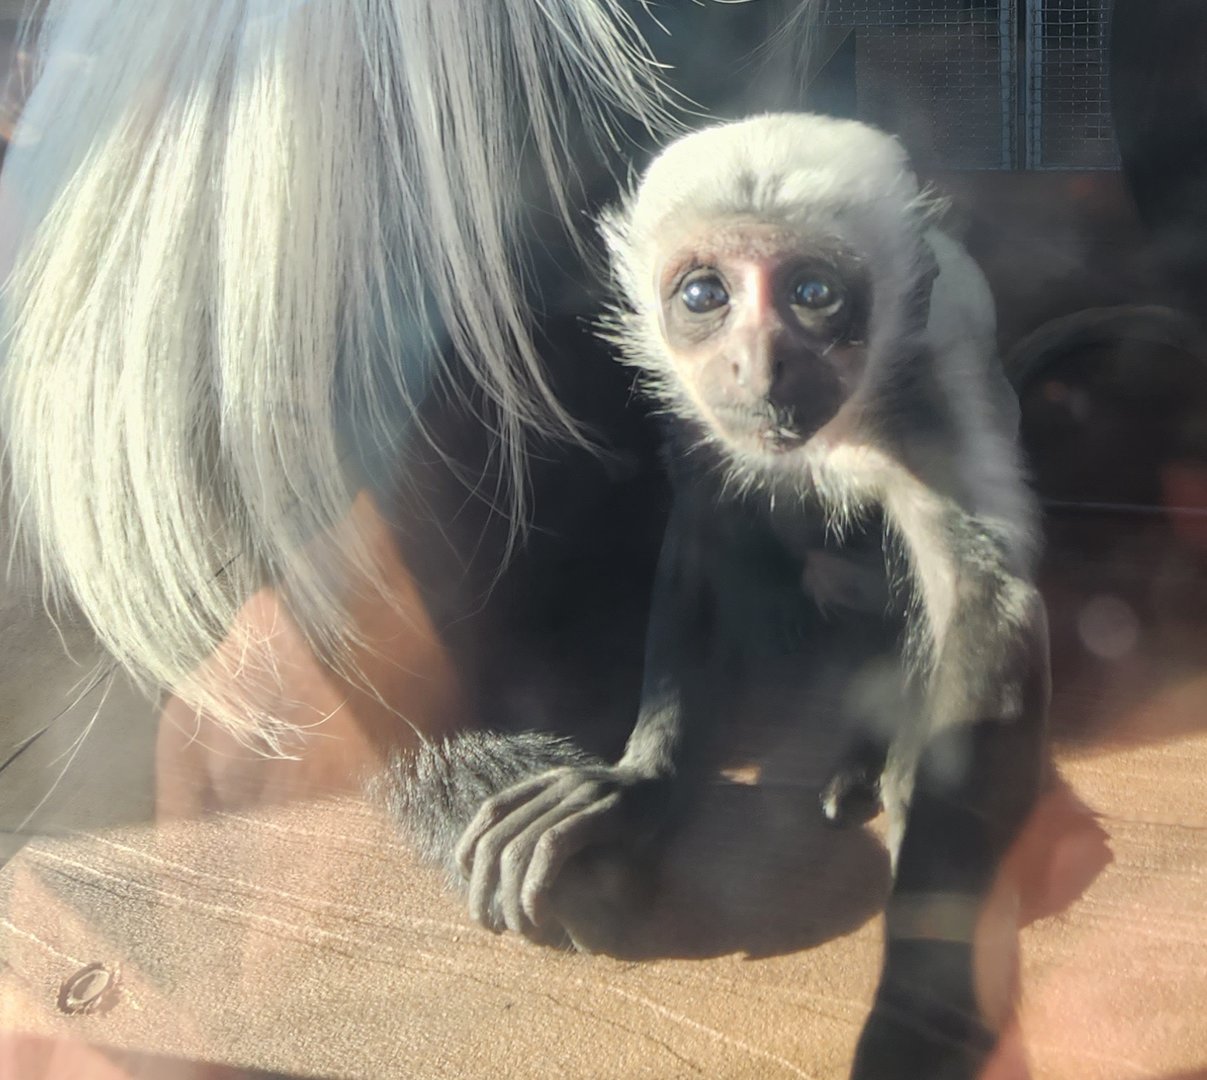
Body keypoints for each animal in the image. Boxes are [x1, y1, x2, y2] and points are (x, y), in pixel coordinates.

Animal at [394, 114, 1049, 1080]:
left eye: (813, 293)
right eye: (704, 295)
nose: (758, 361)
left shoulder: (923, 406)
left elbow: (983, 604)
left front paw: (919, 1006)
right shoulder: (703, 423)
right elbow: (703, 528)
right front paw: (637, 783)